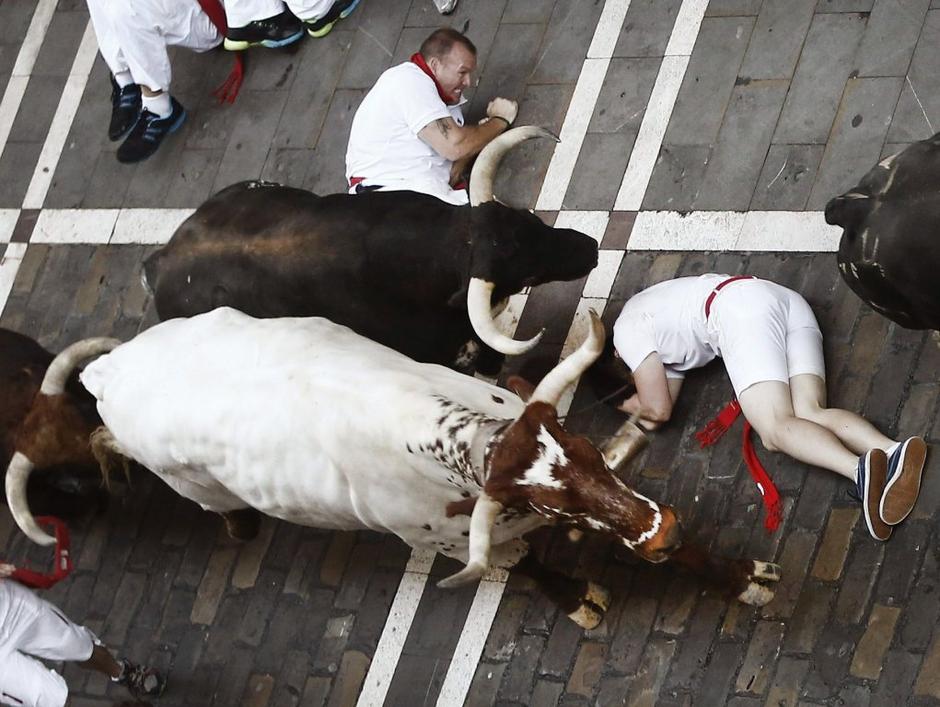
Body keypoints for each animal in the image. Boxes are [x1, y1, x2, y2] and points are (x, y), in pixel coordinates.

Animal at [7, 306, 784, 628]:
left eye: (590, 451)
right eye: (552, 504)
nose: (662, 531)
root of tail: (115, 367)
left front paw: (740, 577)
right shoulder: (449, 541)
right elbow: (521, 568)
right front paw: (577, 599)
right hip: (190, 482)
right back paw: (234, 523)